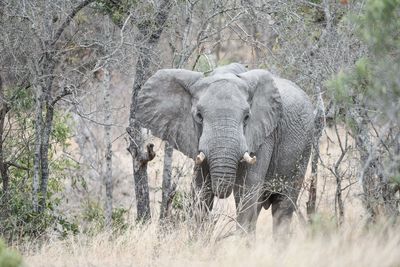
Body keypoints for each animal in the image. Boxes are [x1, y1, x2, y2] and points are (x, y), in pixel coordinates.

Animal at [138, 63, 316, 238]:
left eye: (246, 117)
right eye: (199, 116)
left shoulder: (264, 137)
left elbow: (245, 192)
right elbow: (200, 192)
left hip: (304, 146)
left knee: (283, 205)